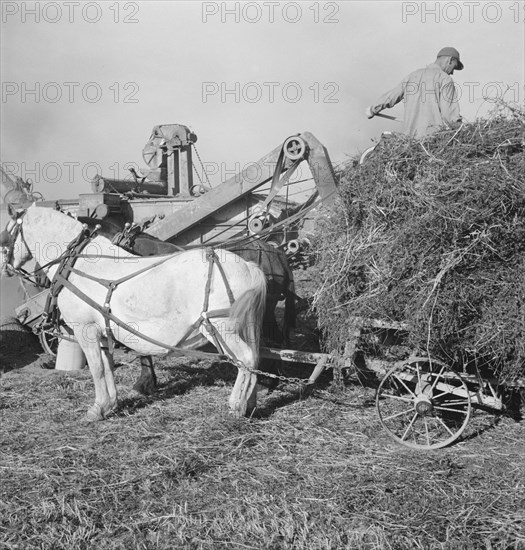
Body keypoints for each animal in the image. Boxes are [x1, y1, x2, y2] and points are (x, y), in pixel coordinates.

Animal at [1, 205, 266, 420]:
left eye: (6, 234)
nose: (6, 268)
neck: (80, 263)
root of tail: (248, 266)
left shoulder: (85, 330)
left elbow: (96, 369)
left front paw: (96, 409)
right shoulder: (102, 333)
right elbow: (107, 367)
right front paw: (109, 405)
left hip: (221, 328)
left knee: (246, 359)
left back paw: (237, 405)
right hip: (244, 327)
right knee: (254, 360)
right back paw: (250, 403)